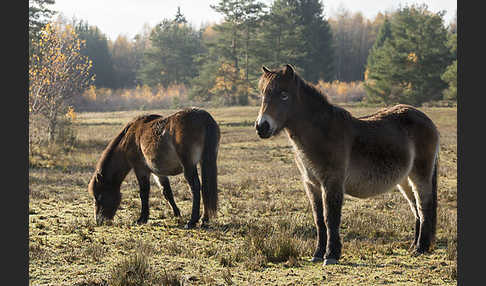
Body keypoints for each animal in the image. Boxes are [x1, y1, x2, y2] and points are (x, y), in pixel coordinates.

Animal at [87, 106, 220, 228]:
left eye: (99, 196)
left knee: (195, 188)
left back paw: (192, 221)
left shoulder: (141, 169)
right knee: (205, 187)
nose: (99, 221)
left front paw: (142, 218)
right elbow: (167, 192)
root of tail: (203, 117)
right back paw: (204, 220)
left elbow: (144, 193)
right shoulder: (158, 172)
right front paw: (177, 214)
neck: (130, 137)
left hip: (188, 166)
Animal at [254, 65, 440, 266]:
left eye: (284, 94)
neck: (322, 132)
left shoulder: (332, 182)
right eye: (263, 94)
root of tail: (426, 119)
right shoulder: (312, 185)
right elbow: (319, 219)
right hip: (405, 179)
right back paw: (414, 246)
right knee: (416, 208)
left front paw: (331, 255)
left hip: (420, 175)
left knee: (424, 205)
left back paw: (421, 248)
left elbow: (331, 218)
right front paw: (318, 254)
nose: (262, 127)